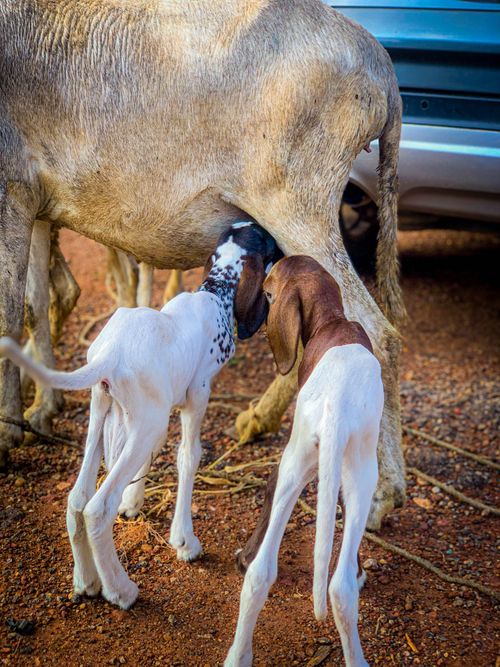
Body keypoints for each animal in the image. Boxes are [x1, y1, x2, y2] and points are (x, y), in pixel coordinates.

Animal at [0, 0, 404, 529]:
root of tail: (379, 60)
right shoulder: (36, 203)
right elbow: (35, 302)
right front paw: (41, 406)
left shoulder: (10, 187)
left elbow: (8, 312)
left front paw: (8, 430)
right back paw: (261, 419)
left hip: (300, 209)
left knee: (377, 335)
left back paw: (384, 494)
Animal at [0, 222, 281, 609]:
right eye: (266, 242)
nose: (284, 251)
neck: (214, 293)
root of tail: (110, 354)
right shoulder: (197, 395)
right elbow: (188, 457)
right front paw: (184, 541)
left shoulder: (156, 406)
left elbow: (153, 453)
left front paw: (133, 503)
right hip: (148, 419)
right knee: (97, 508)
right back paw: (121, 590)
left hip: (106, 409)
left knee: (77, 498)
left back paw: (86, 581)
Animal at [225, 256, 383, 667]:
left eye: (268, 293)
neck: (333, 322)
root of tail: (336, 408)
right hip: (360, 471)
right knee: (339, 586)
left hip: (299, 460)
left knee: (261, 572)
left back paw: (238, 653)